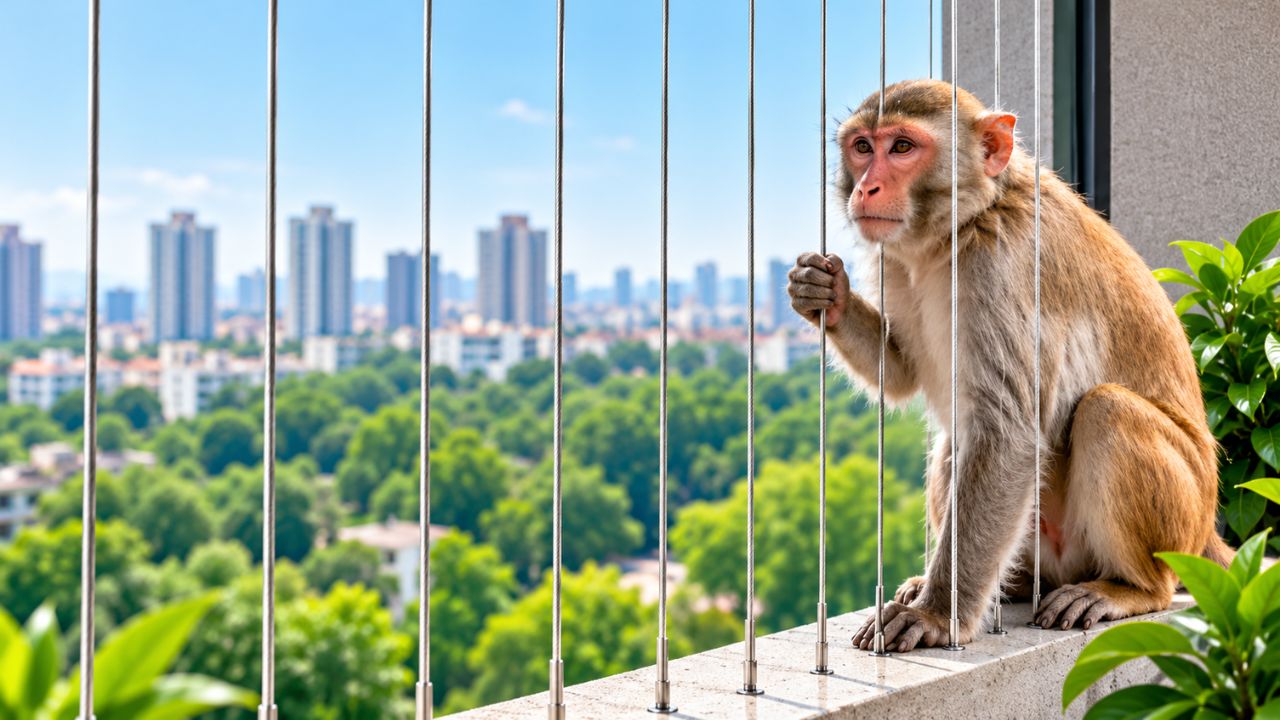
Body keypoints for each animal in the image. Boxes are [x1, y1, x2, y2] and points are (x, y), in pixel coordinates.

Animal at [786, 79, 1228, 653]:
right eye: (862, 147)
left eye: (902, 147)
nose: (866, 189)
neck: (962, 225)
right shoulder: (894, 258)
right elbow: (903, 373)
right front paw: (824, 292)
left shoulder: (999, 266)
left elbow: (1008, 435)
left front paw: (936, 615)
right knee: (954, 442)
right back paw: (1007, 585)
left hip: (1178, 522)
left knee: (1105, 411)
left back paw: (1130, 589)